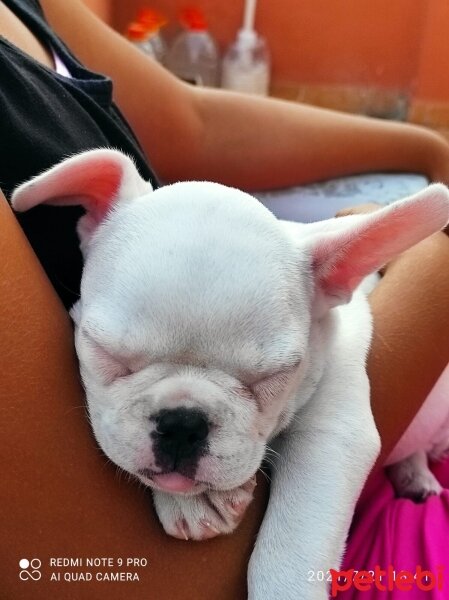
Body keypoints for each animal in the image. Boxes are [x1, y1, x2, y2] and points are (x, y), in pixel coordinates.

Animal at [12, 149, 448, 596]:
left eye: (273, 376)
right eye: (104, 351)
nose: (182, 424)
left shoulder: (334, 429)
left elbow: (289, 553)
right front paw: (194, 501)